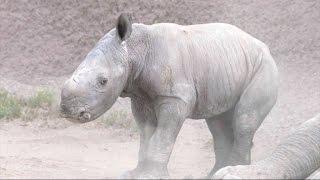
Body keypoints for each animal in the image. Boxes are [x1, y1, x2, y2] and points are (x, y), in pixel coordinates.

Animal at [59, 13, 278, 178]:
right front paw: (136, 173)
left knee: (244, 120)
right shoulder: (141, 97)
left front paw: (150, 175)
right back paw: (214, 174)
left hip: (263, 66)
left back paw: (232, 170)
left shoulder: (175, 97)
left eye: (103, 81)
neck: (136, 50)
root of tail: (264, 46)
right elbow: (147, 134)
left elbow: (163, 136)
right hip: (224, 65)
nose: (68, 111)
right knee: (218, 123)